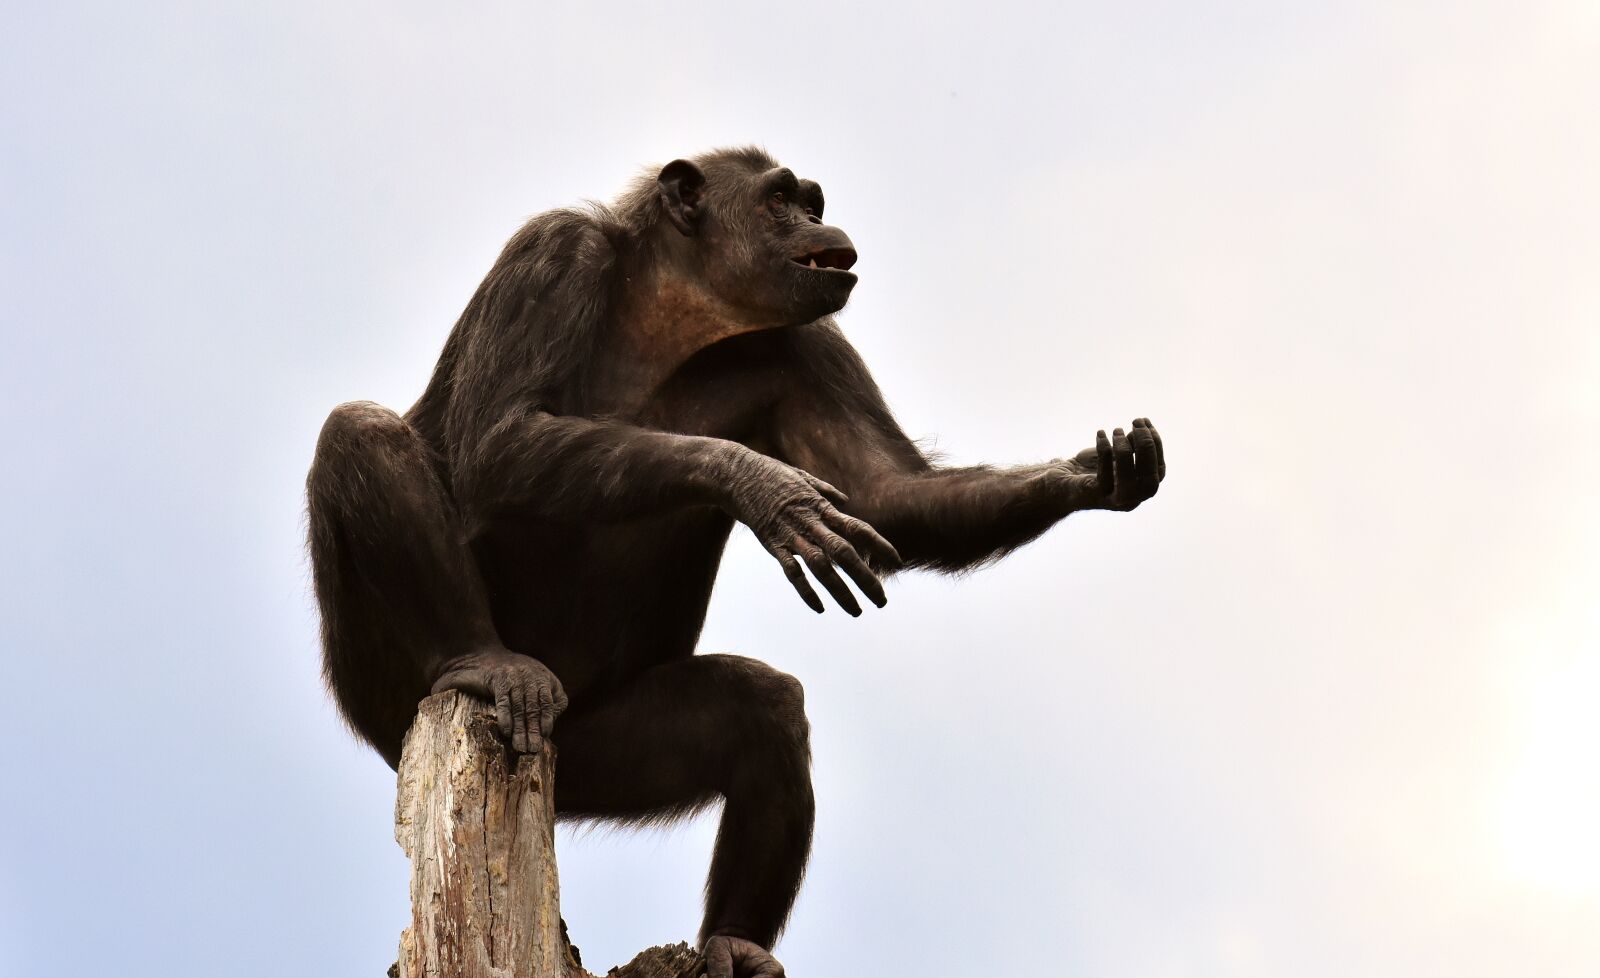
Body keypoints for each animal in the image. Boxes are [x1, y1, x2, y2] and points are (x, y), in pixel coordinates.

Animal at [306, 146, 1165, 978]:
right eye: (781, 200)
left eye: (812, 203)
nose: (817, 223)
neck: (670, 308)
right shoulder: (547, 256)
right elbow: (500, 435)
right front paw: (762, 485)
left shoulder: (811, 347)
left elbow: (883, 493)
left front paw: (1086, 475)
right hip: (394, 695)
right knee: (360, 433)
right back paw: (484, 658)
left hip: (595, 749)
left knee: (763, 711)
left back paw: (736, 943)